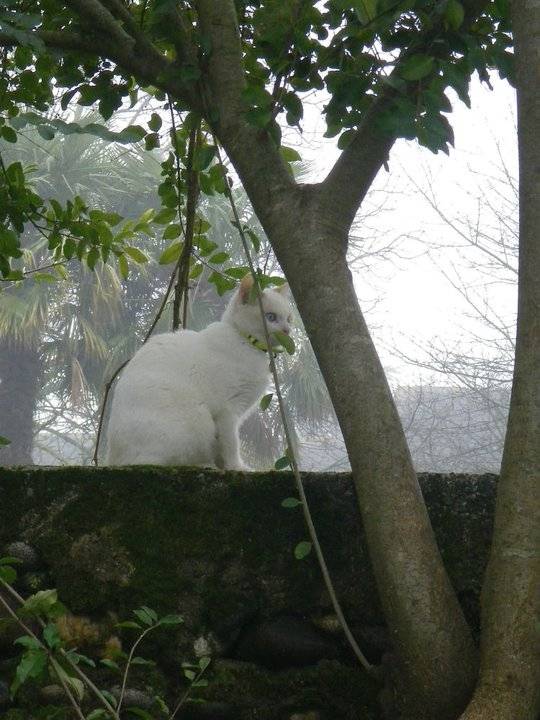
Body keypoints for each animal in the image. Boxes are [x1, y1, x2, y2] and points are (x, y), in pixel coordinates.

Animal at [106, 272, 292, 470]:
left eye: (289, 318)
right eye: (271, 317)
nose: (287, 330)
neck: (246, 342)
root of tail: (113, 459)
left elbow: (223, 447)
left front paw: (224, 465)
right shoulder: (228, 411)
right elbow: (231, 444)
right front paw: (236, 466)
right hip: (197, 420)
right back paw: (205, 464)